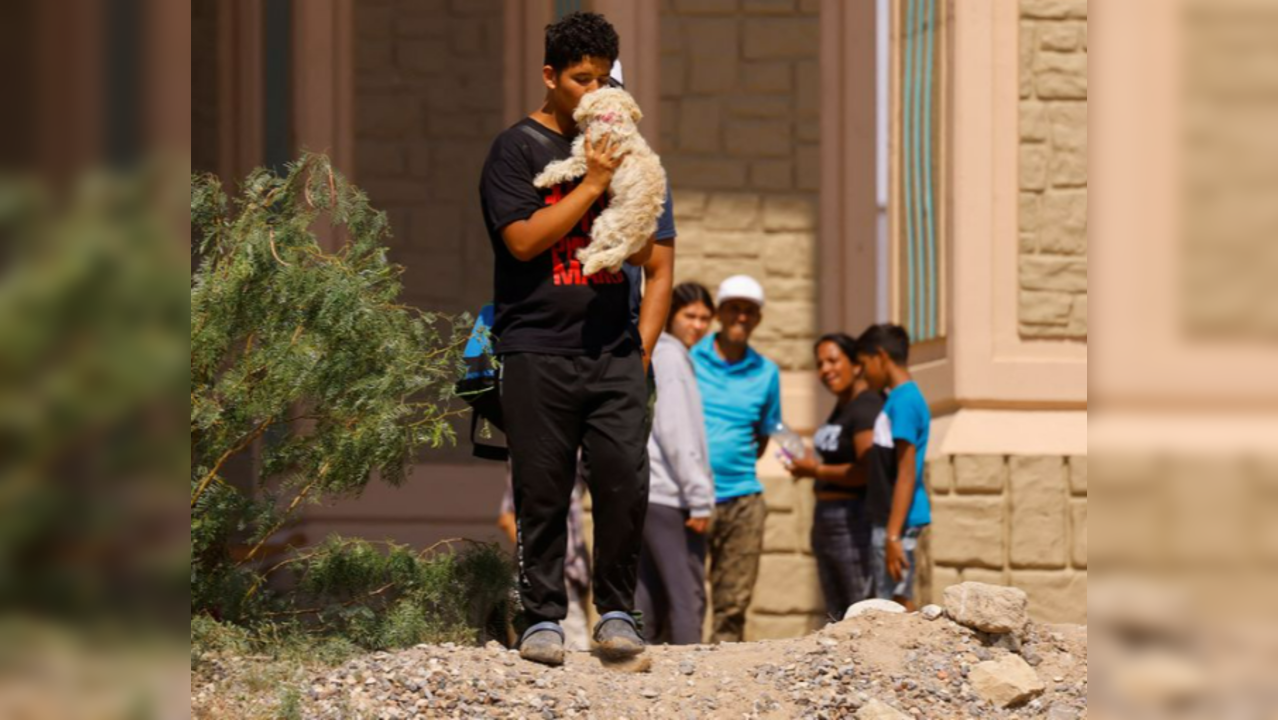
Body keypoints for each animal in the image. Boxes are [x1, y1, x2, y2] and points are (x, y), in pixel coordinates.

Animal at [531, 89, 669, 278]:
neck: (614, 117)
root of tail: (635, 237)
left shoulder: (583, 158)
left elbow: (561, 168)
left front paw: (541, 180)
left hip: (604, 223)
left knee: (597, 246)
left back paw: (583, 255)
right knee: (613, 258)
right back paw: (610, 266)